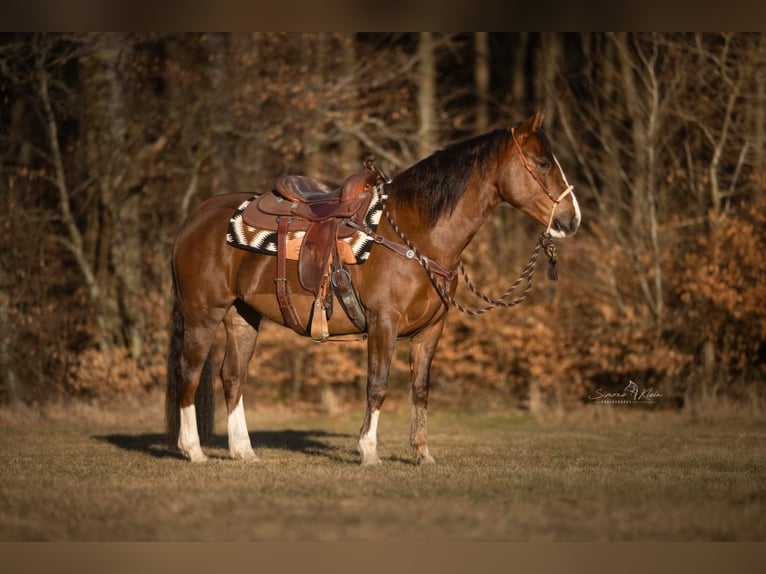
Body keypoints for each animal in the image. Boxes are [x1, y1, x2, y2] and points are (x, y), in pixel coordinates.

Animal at [164, 110, 584, 466]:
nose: (571, 219)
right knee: (189, 371)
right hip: (203, 313)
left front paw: (422, 454)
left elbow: (420, 389)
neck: (416, 236)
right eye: (543, 163)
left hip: (242, 316)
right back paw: (193, 451)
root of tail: (194, 219)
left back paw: (243, 451)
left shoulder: (431, 330)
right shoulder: (384, 323)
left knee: (232, 377)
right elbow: (378, 385)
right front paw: (368, 451)